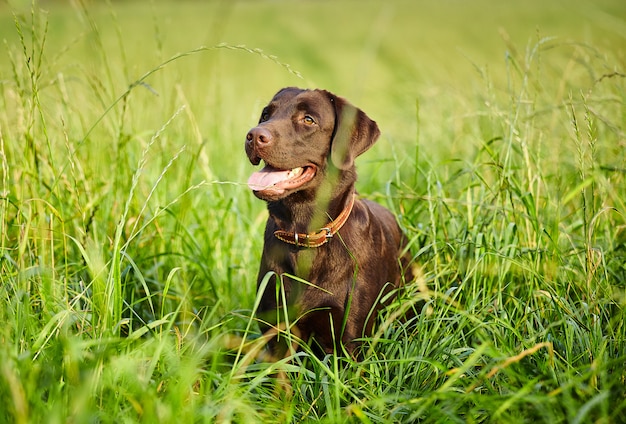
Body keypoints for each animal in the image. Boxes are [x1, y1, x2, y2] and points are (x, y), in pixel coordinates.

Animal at [246, 88, 412, 356]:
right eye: (266, 114)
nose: (253, 136)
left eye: (308, 120)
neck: (304, 233)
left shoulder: (350, 336)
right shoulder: (277, 332)